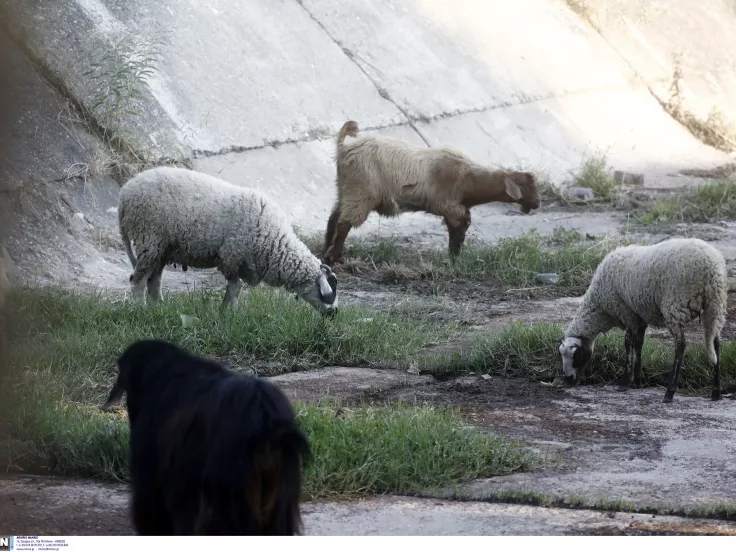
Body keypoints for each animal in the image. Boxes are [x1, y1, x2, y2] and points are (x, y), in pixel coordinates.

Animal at [118, 166, 340, 314]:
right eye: (326, 292)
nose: (334, 314)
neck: (275, 244)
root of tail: (125, 192)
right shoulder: (232, 257)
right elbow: (235, 288)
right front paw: (229, 313)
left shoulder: (239, 262)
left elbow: (234, 289)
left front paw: (226, 312)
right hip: (149, 237)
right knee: (138, 280)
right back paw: (141, 310)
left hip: (161, 247)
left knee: (153, 280)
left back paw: (160, 309)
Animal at [322, 121, 540, 268]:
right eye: (525, 185)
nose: (537, 203)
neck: (468, 178)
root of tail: (344, 148)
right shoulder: (448, 205)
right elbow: (460, 227)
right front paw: (454, 257)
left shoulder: (454, 208)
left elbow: (459, 229)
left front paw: (454, 257)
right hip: (361, 191)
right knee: (345, 223)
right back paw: (336, 257)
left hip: (345, 189)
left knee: (333, 219)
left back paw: (325, 252)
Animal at [560, 236, 728, 402]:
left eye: (576, 356)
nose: (568, 380)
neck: (600, 309)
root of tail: (711, 266)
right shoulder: (640, 316)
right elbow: (639, 344)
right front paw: (638, 380)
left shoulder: (626, 312)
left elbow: (628, 343)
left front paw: (626, 382)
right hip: (715, 304)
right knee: (716, 343)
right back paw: (716, 391)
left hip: (675, 304)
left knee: (681, 345)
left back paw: (670, 392)